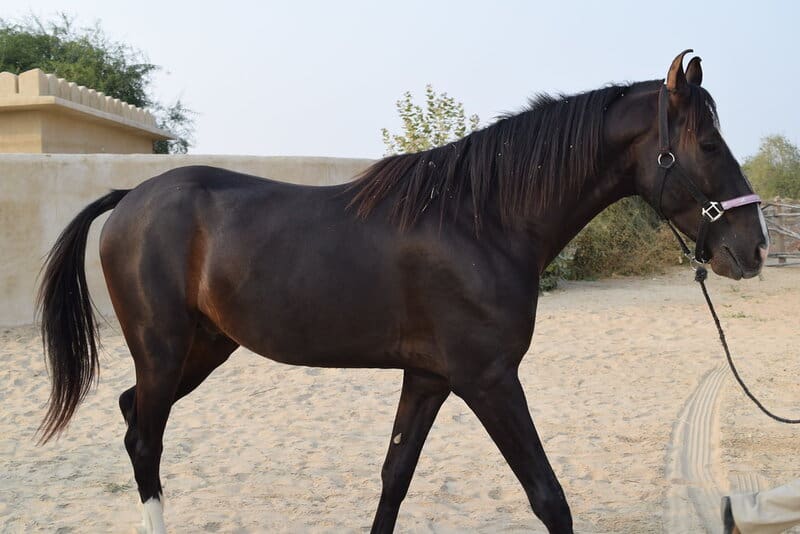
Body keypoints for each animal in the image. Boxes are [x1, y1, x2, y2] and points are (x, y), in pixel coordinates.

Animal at [37, 50, 768, 533]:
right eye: (707, 142)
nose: (754, 248)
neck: (482, 220)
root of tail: (130, 197)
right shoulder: (489, 380)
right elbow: (548, 496)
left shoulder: (428, 378)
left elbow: (394, 480)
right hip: (165, 350)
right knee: (144, 440)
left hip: (204, 347)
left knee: (133, 416)